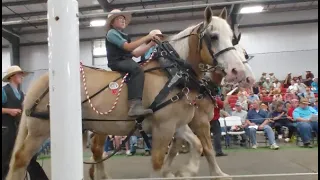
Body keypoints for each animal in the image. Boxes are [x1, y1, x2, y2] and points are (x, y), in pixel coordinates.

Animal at [6, 6, 248, 179]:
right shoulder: (165, 127)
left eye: (233, 37)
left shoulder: (177, 125)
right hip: (41, 129)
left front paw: (184, 172)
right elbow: (159, 162)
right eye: (213, 36)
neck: (173, 74)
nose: (238, 71)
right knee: (20, 159)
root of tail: (41, 80)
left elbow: (197, 145)